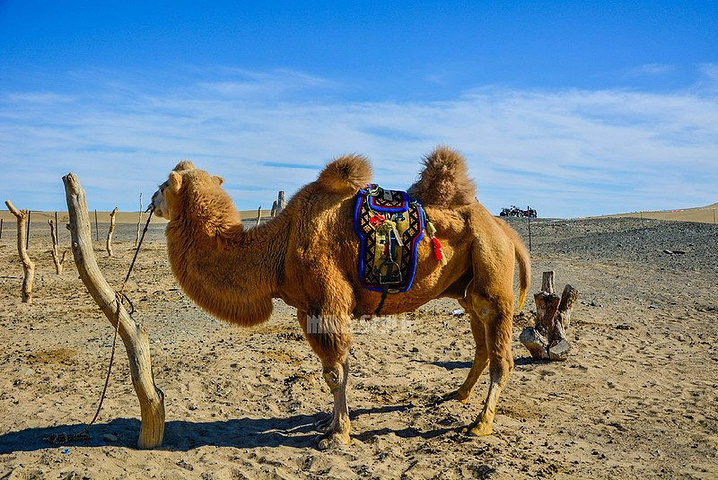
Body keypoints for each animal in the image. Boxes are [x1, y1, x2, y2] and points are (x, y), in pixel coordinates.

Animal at [152, 147, 532, 450]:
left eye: (165, 184)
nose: (151, 200)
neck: (278, 248)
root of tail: (505, 229)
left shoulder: (327, 302)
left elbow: (334, 372)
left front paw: (337, 436)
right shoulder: (308, 309)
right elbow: (341, 369)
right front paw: (331, 423)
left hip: (492, 272)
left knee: (501, 355)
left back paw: (480, 424)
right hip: (468, 286)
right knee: (481, 342)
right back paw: (457, 395)